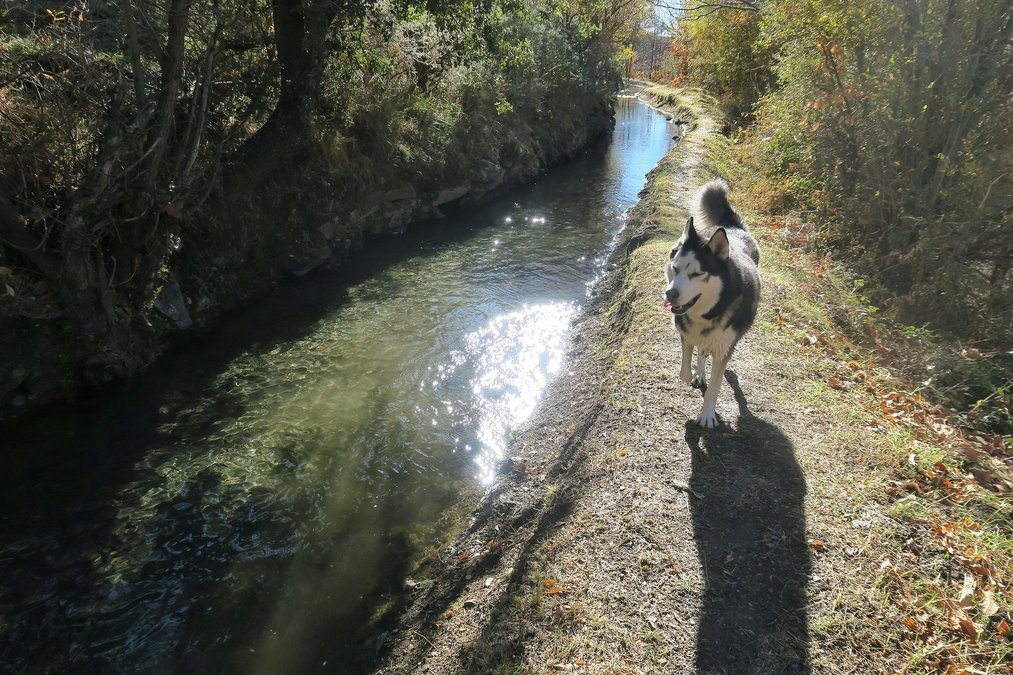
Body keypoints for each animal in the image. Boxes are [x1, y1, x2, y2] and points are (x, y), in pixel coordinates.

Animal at [664, 180, 761, 425]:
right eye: (675, 268)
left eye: (697, 274)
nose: (669, 294)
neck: (708, 313)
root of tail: (731, 227)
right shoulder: (686, 332)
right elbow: (686, 366)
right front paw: (692, 374)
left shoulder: (723, 347)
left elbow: (715, 387)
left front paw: (707, 414)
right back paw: (700, 372)